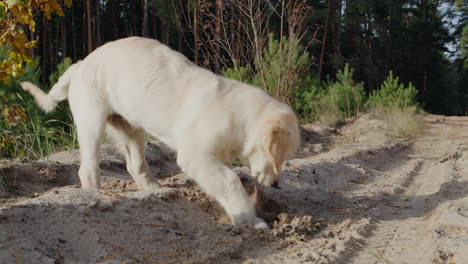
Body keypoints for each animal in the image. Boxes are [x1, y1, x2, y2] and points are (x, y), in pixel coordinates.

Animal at [21, 37, 300, 229]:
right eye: (280, 157)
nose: (277, 184)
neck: (238, 116)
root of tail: (79, 65)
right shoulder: (195, 156)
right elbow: (230, 181)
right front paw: (249, 221)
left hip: (131, 128)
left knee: (135, 165)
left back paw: (155, 190)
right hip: (91, 122)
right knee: (88, 168)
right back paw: (94, 196)